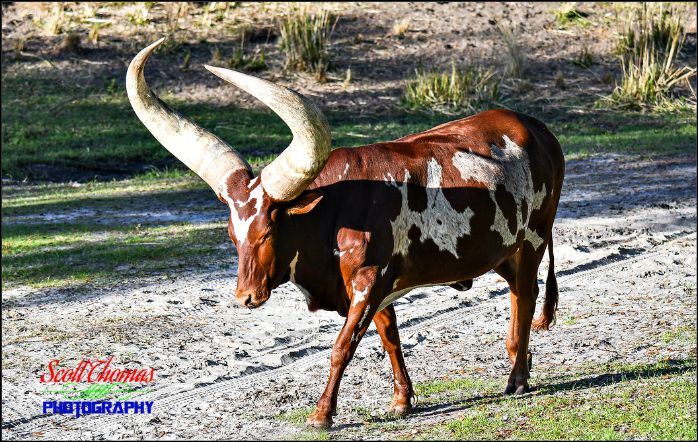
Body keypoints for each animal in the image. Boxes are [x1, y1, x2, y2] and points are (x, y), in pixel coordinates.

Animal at [126, 38, 564, 428]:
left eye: (268, 231)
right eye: (233, 236)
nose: (245, 297)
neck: (332, 212)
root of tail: (539, 129)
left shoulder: (369, 282)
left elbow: (342, 346)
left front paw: (322, 414)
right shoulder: (378, 286)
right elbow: (390, 337)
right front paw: (401, 400)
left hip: (534, 239)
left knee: (527, 297)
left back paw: (518, 379)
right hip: (504, 251)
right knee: (518, 296)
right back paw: (518, 363)